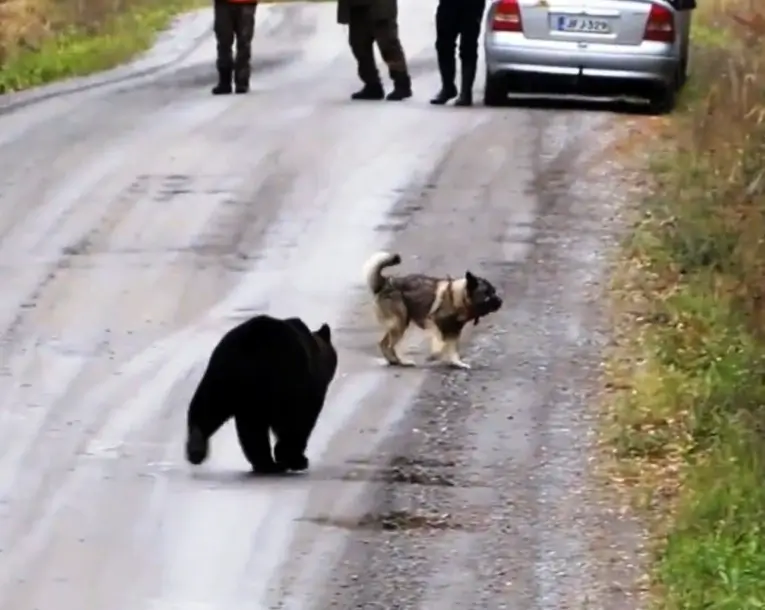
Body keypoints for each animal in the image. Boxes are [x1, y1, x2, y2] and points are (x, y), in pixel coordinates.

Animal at [182, 312, 338, 472]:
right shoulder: (309, 388)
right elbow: (301, 421)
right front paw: (294, 458)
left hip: (222, 372)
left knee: (209, 407)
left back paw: (197, 448)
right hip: (281, 378)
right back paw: (278, 462)